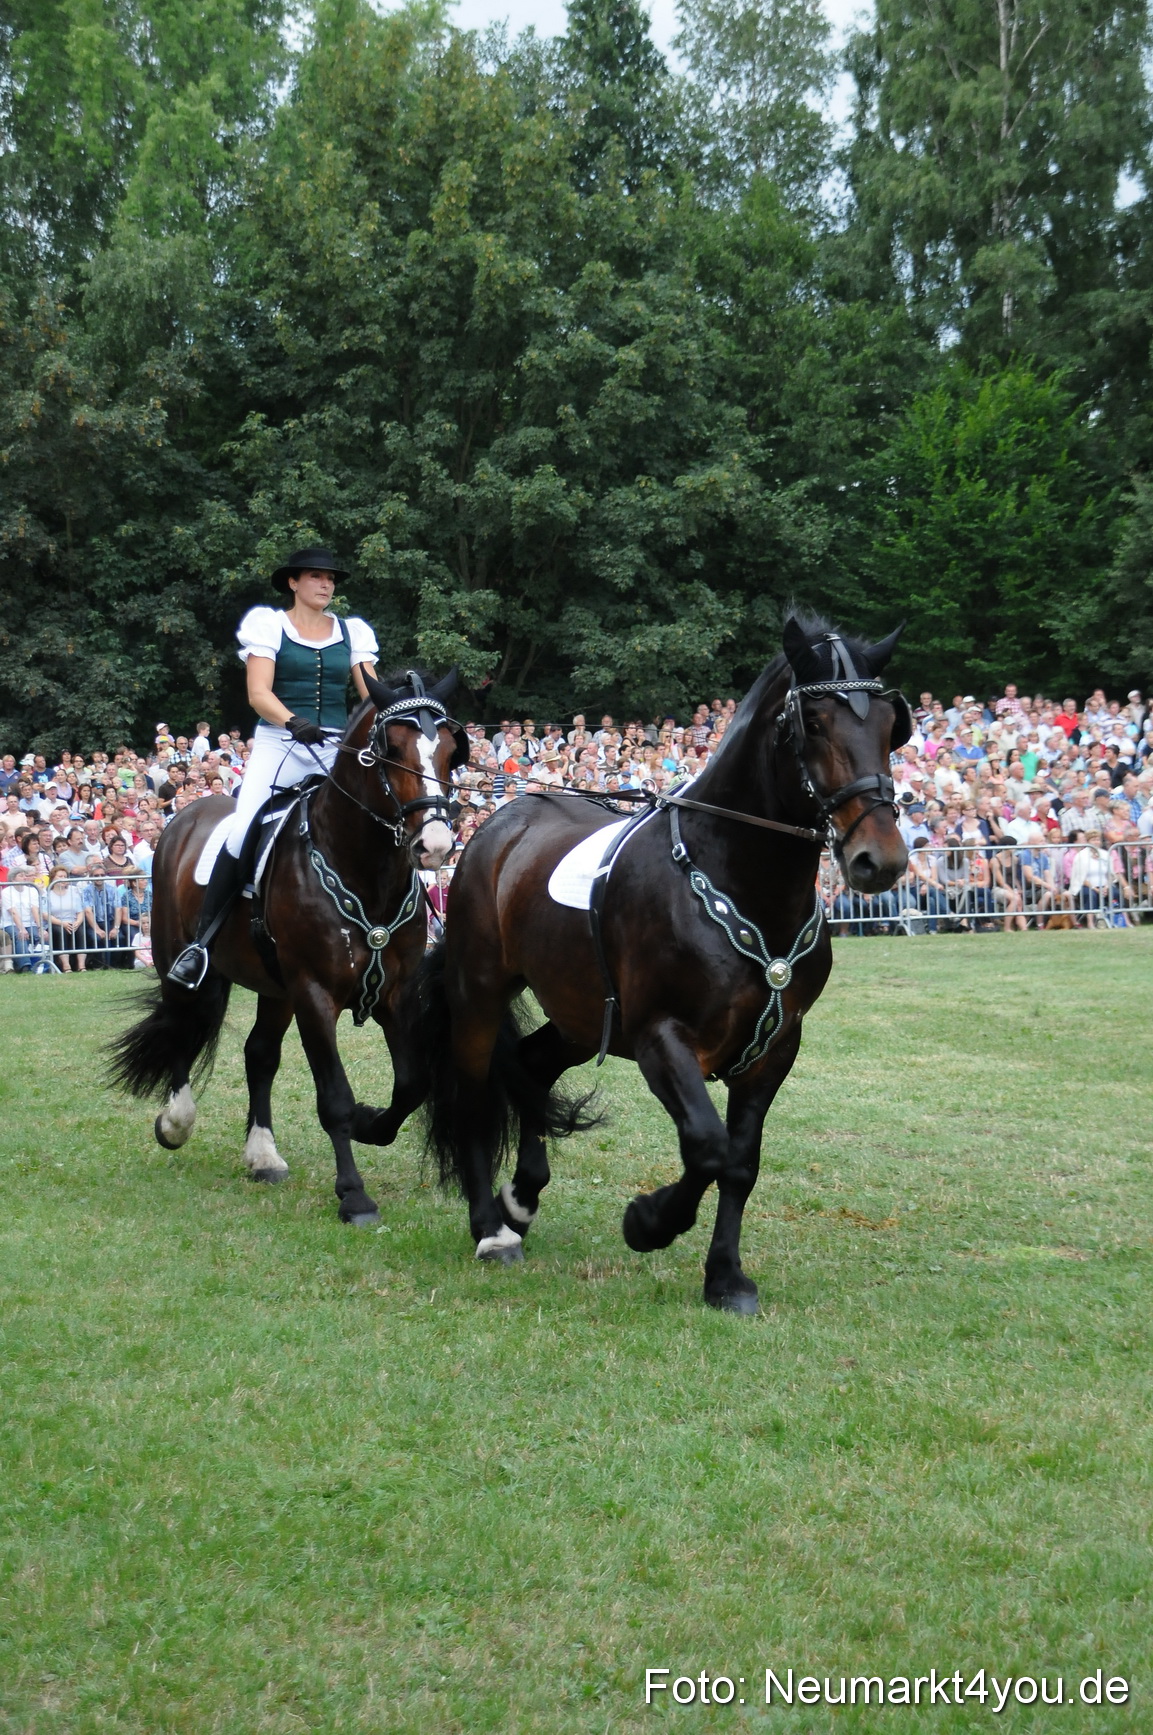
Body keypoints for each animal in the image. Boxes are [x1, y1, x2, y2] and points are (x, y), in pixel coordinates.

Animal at [110, 669, 468, 1225]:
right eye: (390, 749)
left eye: (452, 749)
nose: (433, 846)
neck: (362, 871)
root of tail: (185, 817)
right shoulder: (314, 994)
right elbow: (334, 1097)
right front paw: (354, 1195)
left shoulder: (395, 994)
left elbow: (410, 1084)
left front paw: (369, 1124)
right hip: (184, 962)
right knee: (180, 1027)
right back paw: (175, 1123)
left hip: (275, 989)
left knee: (259, 1055)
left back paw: (262, 1155)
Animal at [414, 617, 911, 1309]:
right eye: (812, 721)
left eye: (892, 725)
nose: (879, 859)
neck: (734, 880)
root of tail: (497, 822)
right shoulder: (662, 1039)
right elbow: (707, 1147)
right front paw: (647, 1222)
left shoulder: (775, 1047)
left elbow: (741, 1162)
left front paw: (725, 1277)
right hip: (480, 992)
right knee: (474, 1092)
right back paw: (491, 1228)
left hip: (579, 1016)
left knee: (531, 1069)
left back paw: (521, 1197)